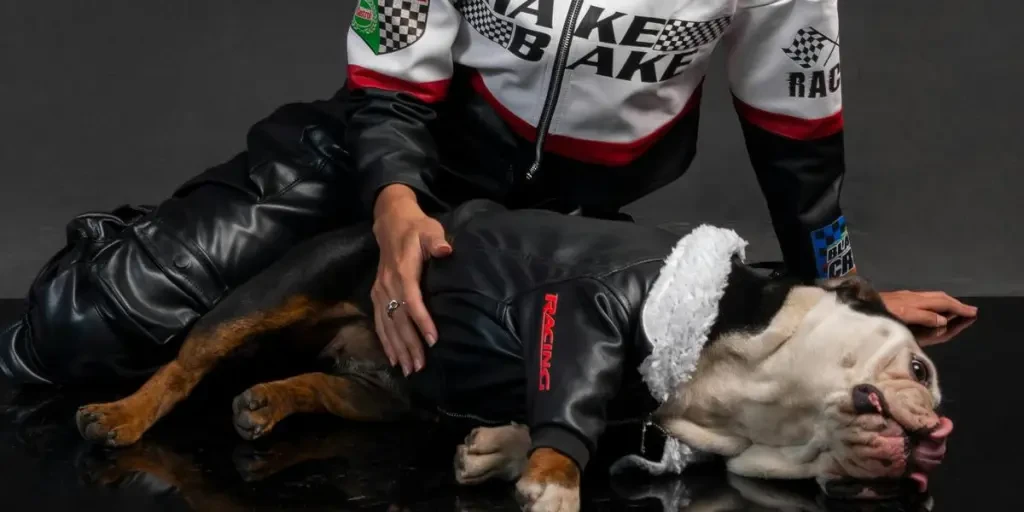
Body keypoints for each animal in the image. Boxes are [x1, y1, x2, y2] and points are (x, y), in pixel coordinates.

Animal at [75, 199, 954, 512]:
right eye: (920, 370)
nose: (937, 437)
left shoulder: (636, 413)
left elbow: (570, 421)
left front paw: (498, 450)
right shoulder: (586, 311)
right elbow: (568, 409)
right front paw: (550, 477)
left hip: (393, 388)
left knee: (333, 386)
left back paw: (267, 399)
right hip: (285, 283)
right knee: (190, 359)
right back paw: (119, 416)